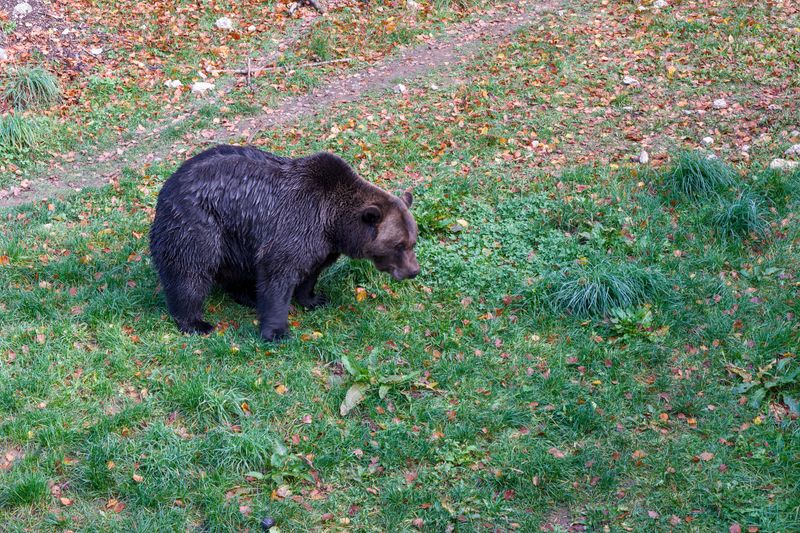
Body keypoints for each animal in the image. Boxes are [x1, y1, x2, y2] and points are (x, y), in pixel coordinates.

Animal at [149, 144, 420, 341]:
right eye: (398, 245)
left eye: (413, 241)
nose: (413, 271)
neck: (333, 223)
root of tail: (167, 187)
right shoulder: (296, 224)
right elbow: (278, 274)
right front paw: (277, 331)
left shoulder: (322, 244)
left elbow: (311, 271)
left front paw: (314, 299)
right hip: (200, 223)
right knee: (190, 270)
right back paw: (196, 322)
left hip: (235, 235)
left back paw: (248, 295)